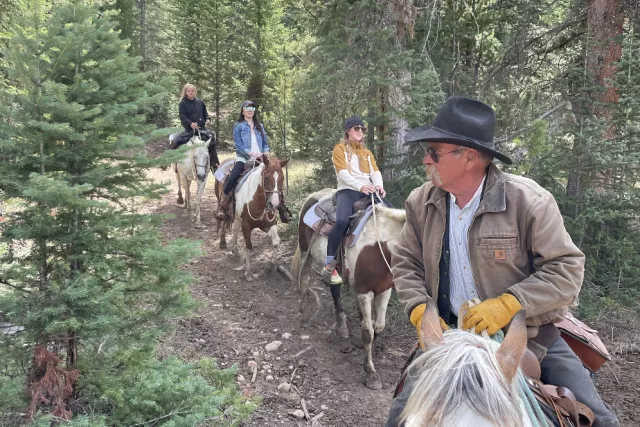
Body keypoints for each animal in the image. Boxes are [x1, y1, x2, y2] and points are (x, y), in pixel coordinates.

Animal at [294, 189, 408, 390]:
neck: (379, 247)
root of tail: (314, 195)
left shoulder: (384, 289)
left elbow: (378, 325)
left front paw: (360, 344)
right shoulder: (364, 291)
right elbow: (367, 331)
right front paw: (370, 373)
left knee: (335, 290)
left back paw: (342, 326)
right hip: (306, 249)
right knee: (305, 278)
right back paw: (303, 314)